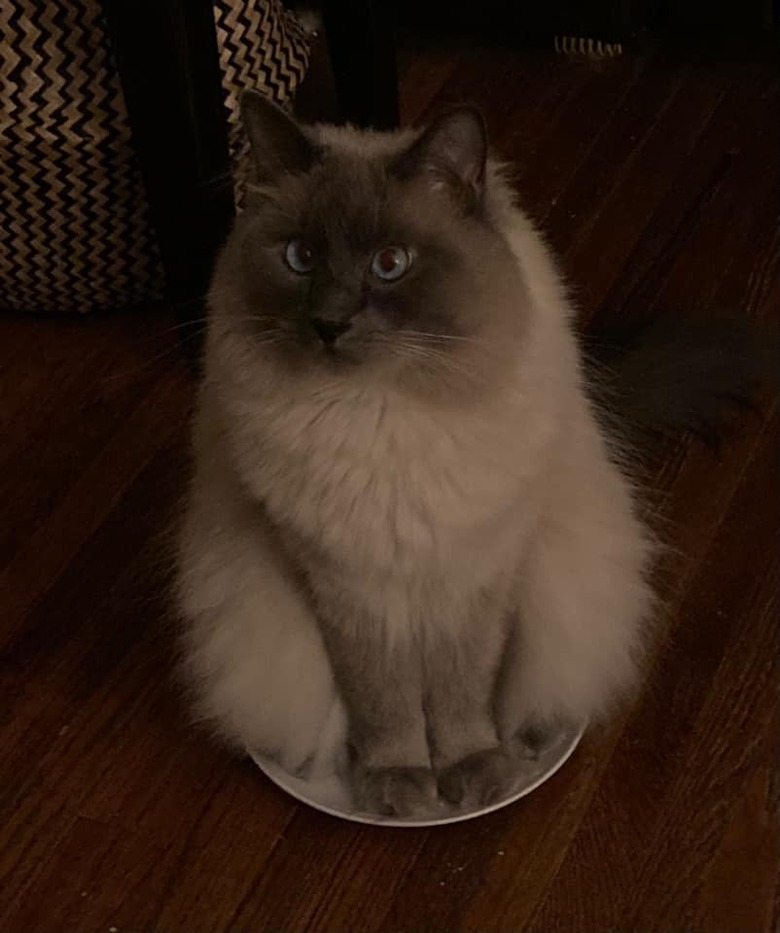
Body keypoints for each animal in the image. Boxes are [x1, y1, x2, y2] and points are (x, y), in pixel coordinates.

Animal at [174, 89, 764, 816]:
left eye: (390, 264)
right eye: (301, 257)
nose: (330, 323)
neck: (377, 416)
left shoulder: (474, 574)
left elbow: (461, 693)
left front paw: (470, 772)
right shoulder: (349, 589)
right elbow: (386, 703)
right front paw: (398, 782)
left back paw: (529, 740)